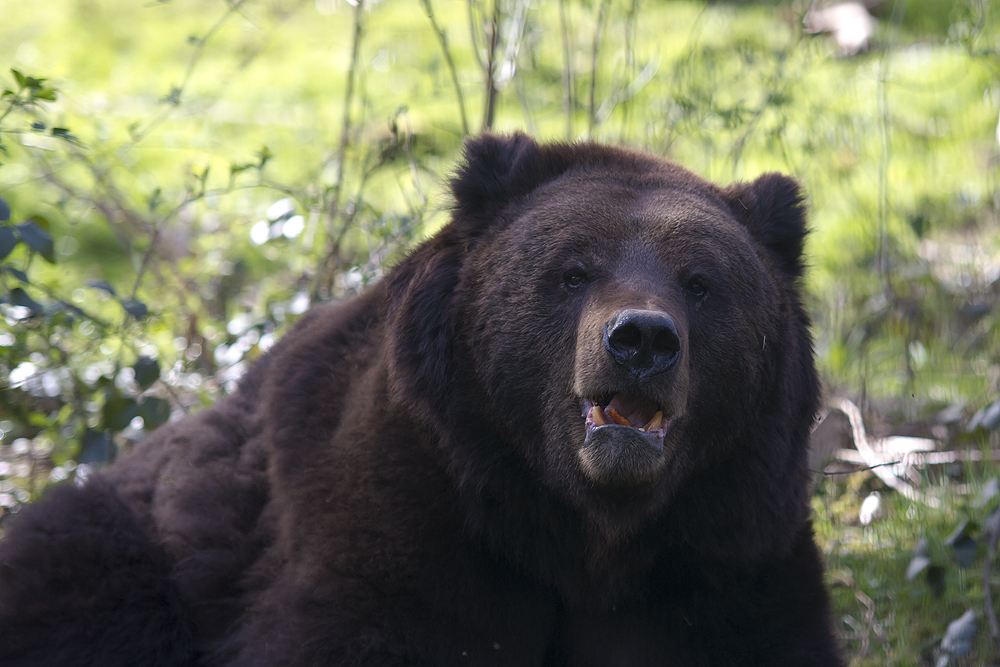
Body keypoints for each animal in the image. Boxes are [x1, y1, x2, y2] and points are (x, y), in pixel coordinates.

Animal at [0, 133, 844, 664]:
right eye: (574, 270)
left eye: (701, 283)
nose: (640, 340)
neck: (583, 532)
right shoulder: (416, 503)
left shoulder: (721, 550)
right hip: (129, 550)